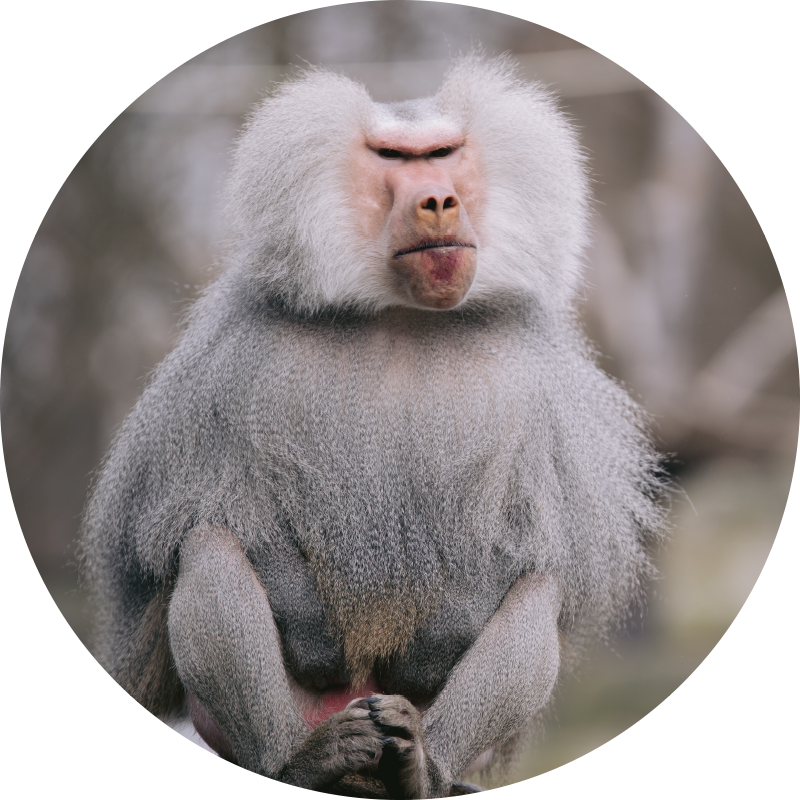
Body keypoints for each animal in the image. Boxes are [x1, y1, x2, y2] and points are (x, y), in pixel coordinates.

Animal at [80, 54, 666, 798]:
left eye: (443, 154)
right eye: (393, 158)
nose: (438, 200)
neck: (401, 317)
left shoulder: (538, 386)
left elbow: (535, 540)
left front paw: (430, 654)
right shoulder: (232, 363)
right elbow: (199, 515)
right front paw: (319, 642)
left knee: (539, 590)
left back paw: (419, 765)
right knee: (209, 547)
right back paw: (305, 758)